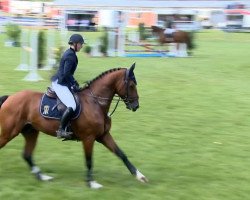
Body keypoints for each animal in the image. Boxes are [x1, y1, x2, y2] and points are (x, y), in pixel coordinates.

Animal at [0, 63, 147, 188]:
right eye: (132, 85)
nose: (136, 106)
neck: (96, 102)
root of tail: (10, 97)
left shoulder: (103, 135)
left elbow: (121, 154)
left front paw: (139, 176)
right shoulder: (88, 138)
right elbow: (89, 160)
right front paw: (91, 183)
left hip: (31, 131)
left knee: (27, 155)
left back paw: (42, 177)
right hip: (9, 132)